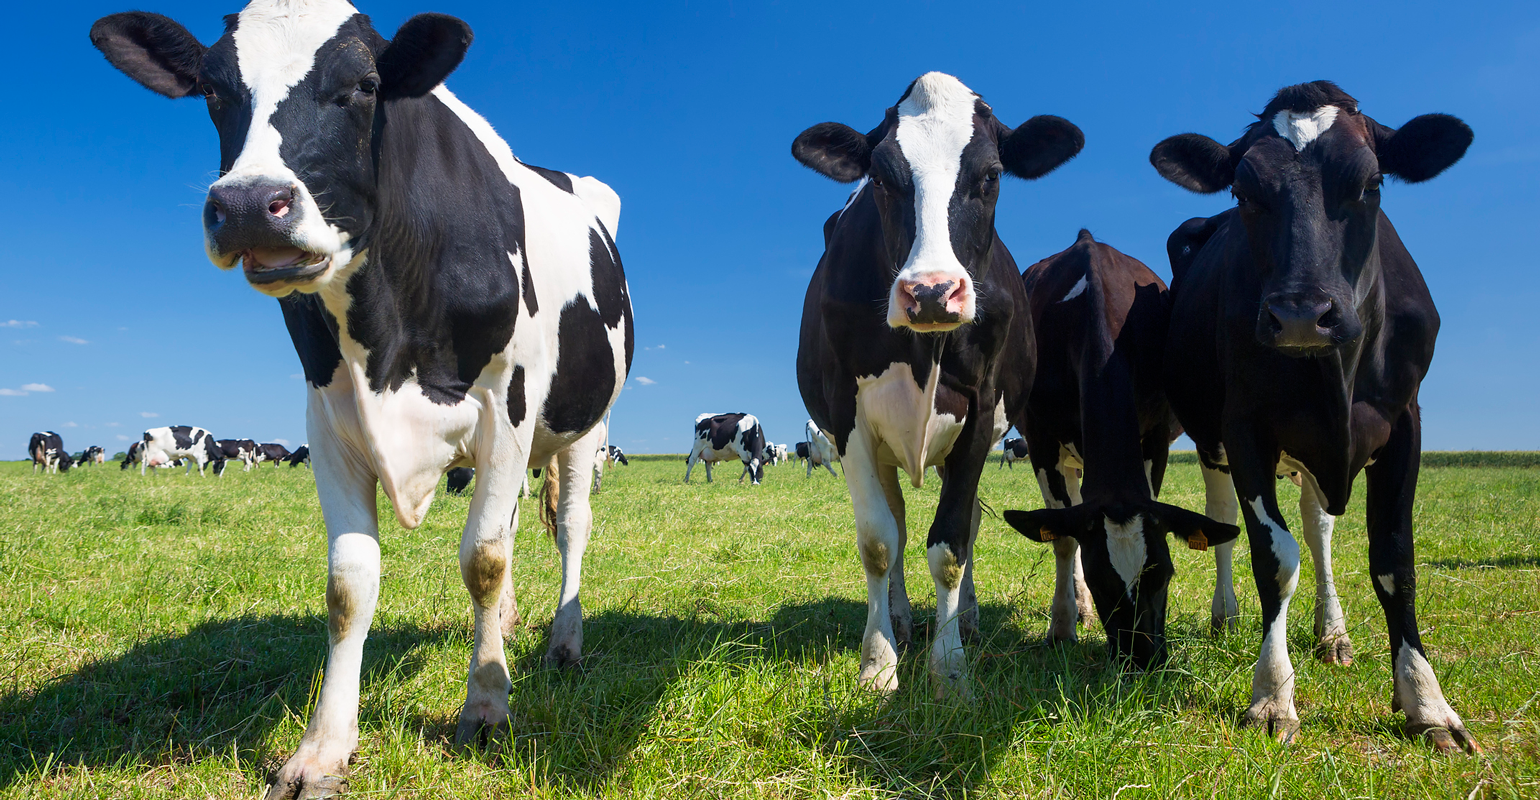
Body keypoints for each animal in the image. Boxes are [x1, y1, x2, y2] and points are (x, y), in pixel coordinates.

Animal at [91, 2, 634, 795]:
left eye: (364, 85)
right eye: (213, 89)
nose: (248, 204)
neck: (386, 329)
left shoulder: (507, 405)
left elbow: (483, 559)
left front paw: (487, 706)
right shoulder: (328, 417)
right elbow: (350, 585)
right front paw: (322, 748)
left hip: (582, 426)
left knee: (569, 527)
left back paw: (564, 641)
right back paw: (503, 628)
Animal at [792, 72, 1080, 696]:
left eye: (991, 175)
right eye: (879, 177)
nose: (930, 292)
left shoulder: (981, 410)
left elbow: (950, 545)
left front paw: (949, 670)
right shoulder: (846, 415)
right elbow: (879, 541)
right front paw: (879, 662)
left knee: (966, 522)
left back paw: (967, 619)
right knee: (898, 522)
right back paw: (900, 618)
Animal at [1001, 231, 1240, 666]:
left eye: (1163, 573)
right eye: (1100, 581)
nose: (1142, 658)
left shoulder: (1156, 437)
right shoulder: (1041, 442)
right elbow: (1063, 537)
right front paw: (1062, 627)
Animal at [1148, 81, 1475, 751]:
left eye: (1371, 183)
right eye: (1243, 192)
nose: (1301, 314)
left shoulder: (1406, 422)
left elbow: (1394, 560)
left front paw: (1427, 701)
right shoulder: (1245, 427)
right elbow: (1274, 558)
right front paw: (1272, 695)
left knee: (1318, 527)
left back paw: (1333, 634)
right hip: (1215, 438)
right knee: (1225, 517)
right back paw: (1226, 614)